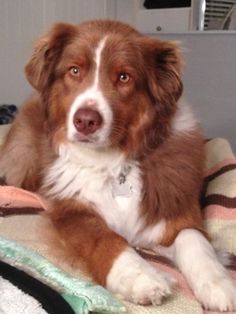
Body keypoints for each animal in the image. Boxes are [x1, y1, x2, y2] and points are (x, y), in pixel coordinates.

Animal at [0, 20, 236, 312]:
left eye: (124, 77)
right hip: (21, 163)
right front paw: (139, 276)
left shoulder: (175, 208)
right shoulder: (71, 211)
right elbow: (102, 237)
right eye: (74, 70)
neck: (114, 163)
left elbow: (194, 239)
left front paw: (219, 281)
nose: (85, 121)